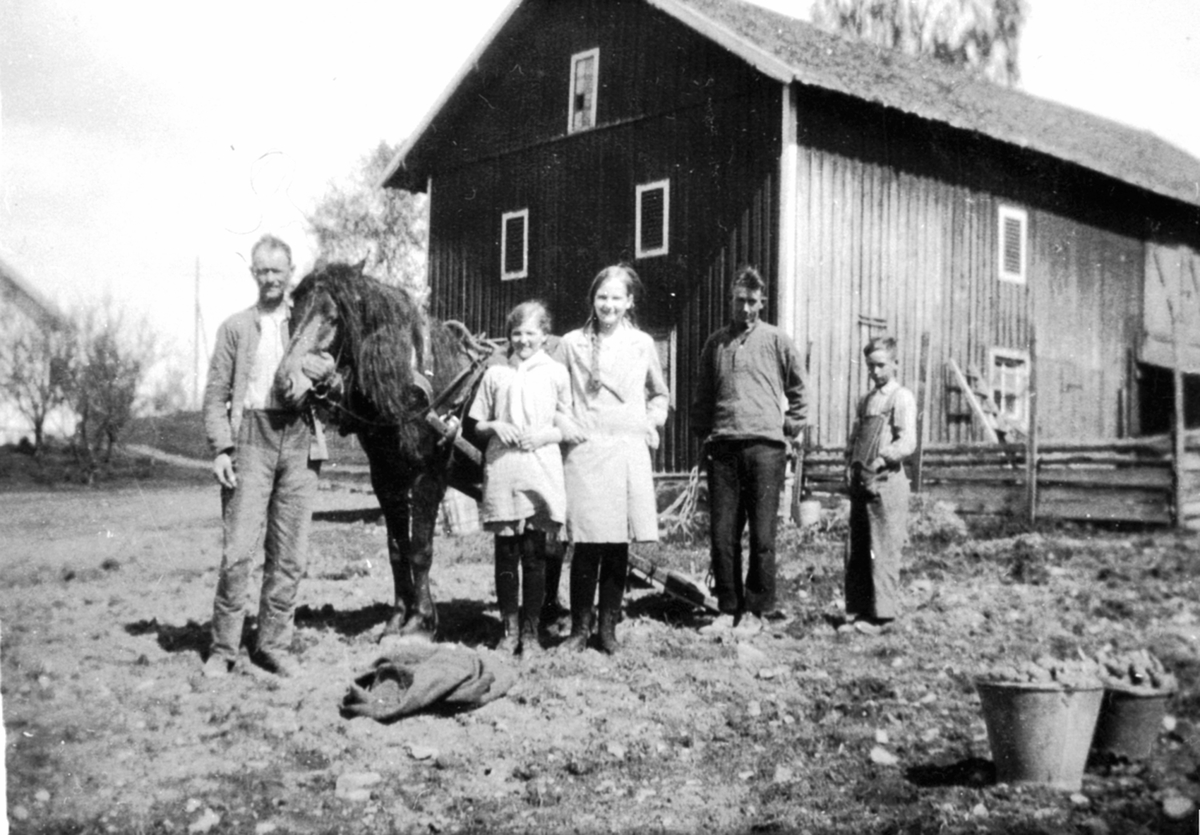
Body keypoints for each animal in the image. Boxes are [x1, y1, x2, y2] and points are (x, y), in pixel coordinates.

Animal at [276, 263, 496, 643]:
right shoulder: (385, 477)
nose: (285, 384)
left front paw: (420, 623)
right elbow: (397, 549)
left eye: (332, 317)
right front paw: (397, 620)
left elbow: (420, 548)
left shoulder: (428, 475)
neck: (413, 381)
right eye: (294, 314)